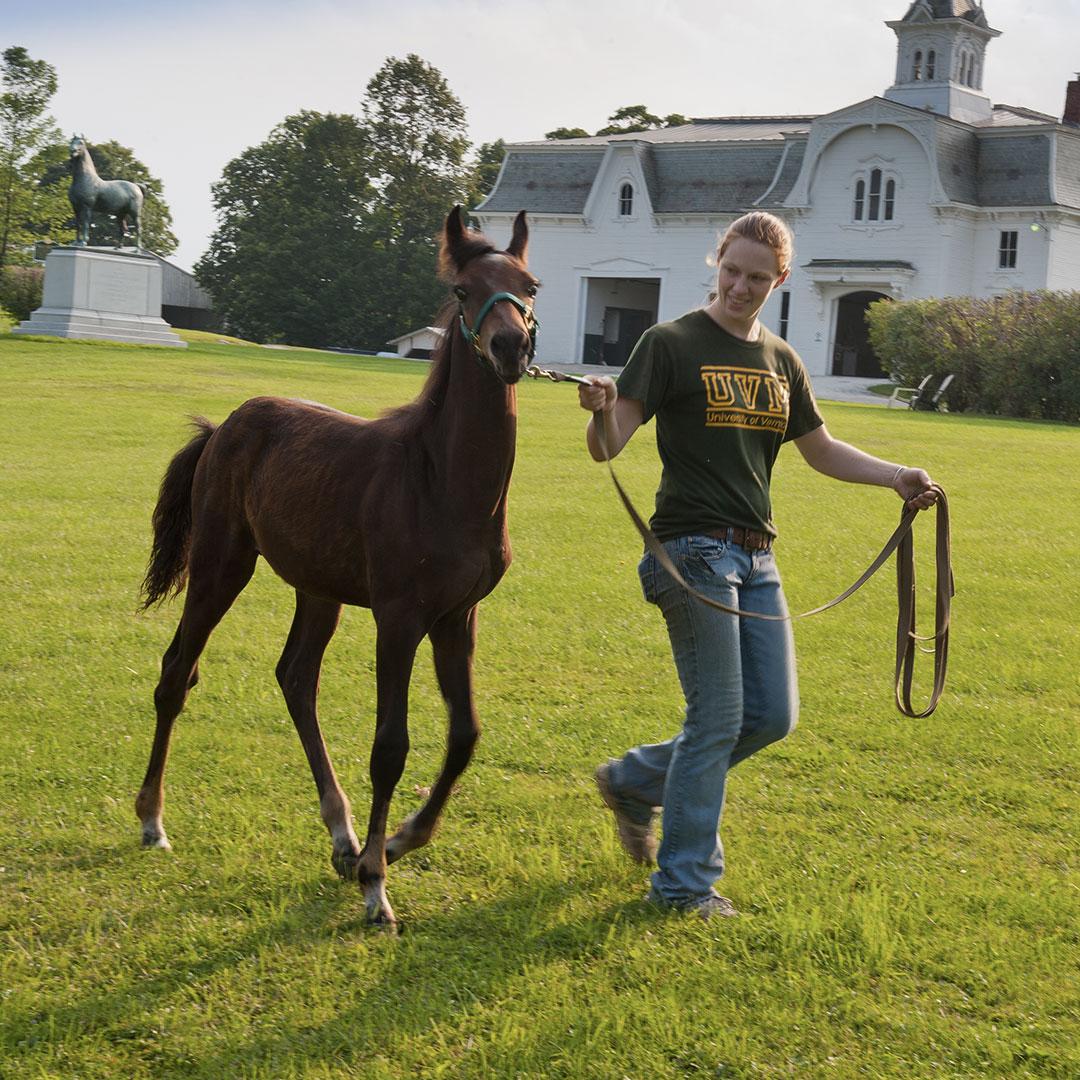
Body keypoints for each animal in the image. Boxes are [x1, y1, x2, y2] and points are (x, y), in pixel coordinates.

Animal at [137, 206, 537, 924]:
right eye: (463, 290)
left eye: (531, 286)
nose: (510, 348)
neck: (443, 482)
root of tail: (223, 427)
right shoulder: (399, 617)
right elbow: (390, 746)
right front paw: (378, 885)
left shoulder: (457, 616)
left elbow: (464, 735)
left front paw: (398, 842)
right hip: (221, 564)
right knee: (178, 670)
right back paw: (153, 820)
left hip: (317, 588)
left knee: (296, 678)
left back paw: (342, 836)